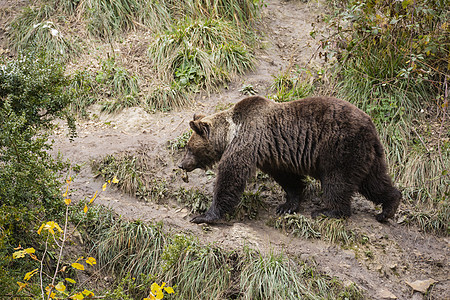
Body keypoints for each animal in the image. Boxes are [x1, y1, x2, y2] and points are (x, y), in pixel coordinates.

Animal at [178, 95, 400, 224]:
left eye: (188, 147)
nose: (181, 164)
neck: (230, 132)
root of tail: (371, 126)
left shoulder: (248, 141)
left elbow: (231, 176)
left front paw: (205, 216)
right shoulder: (274, 154)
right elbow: (288, 179)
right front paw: (287, 205)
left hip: (340, 148)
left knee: (337, 182)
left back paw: (328, 211)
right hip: (367, 155)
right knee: (374, 182)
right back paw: (388, 208)